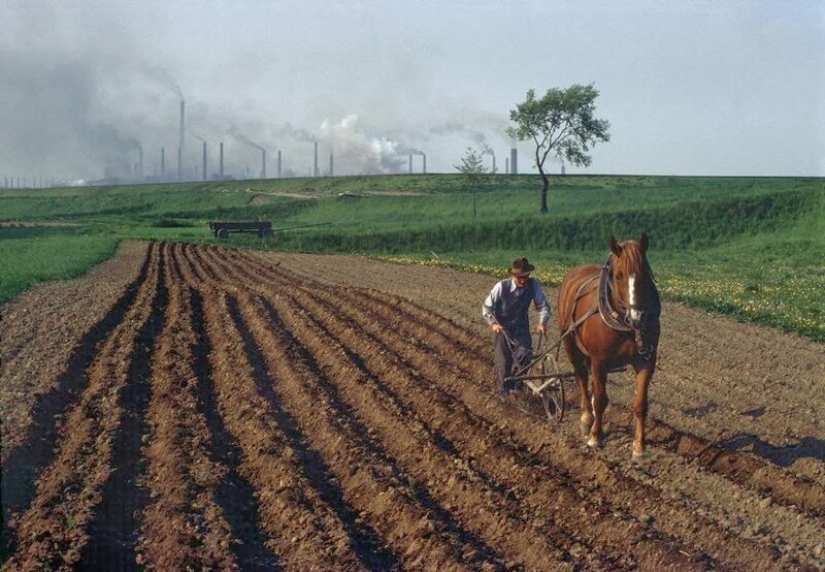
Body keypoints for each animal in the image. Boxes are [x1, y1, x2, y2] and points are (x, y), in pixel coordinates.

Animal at [556, 233, 660, 460]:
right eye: (619, 276)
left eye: (645, 274)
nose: (638, 317)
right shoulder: (599, 361)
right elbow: (601, 399)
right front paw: (595, 437)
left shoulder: (646, 361)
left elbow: (640, 403)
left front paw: (639, 447)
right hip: (570, 344)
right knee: (581, 376)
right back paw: (587, 418)